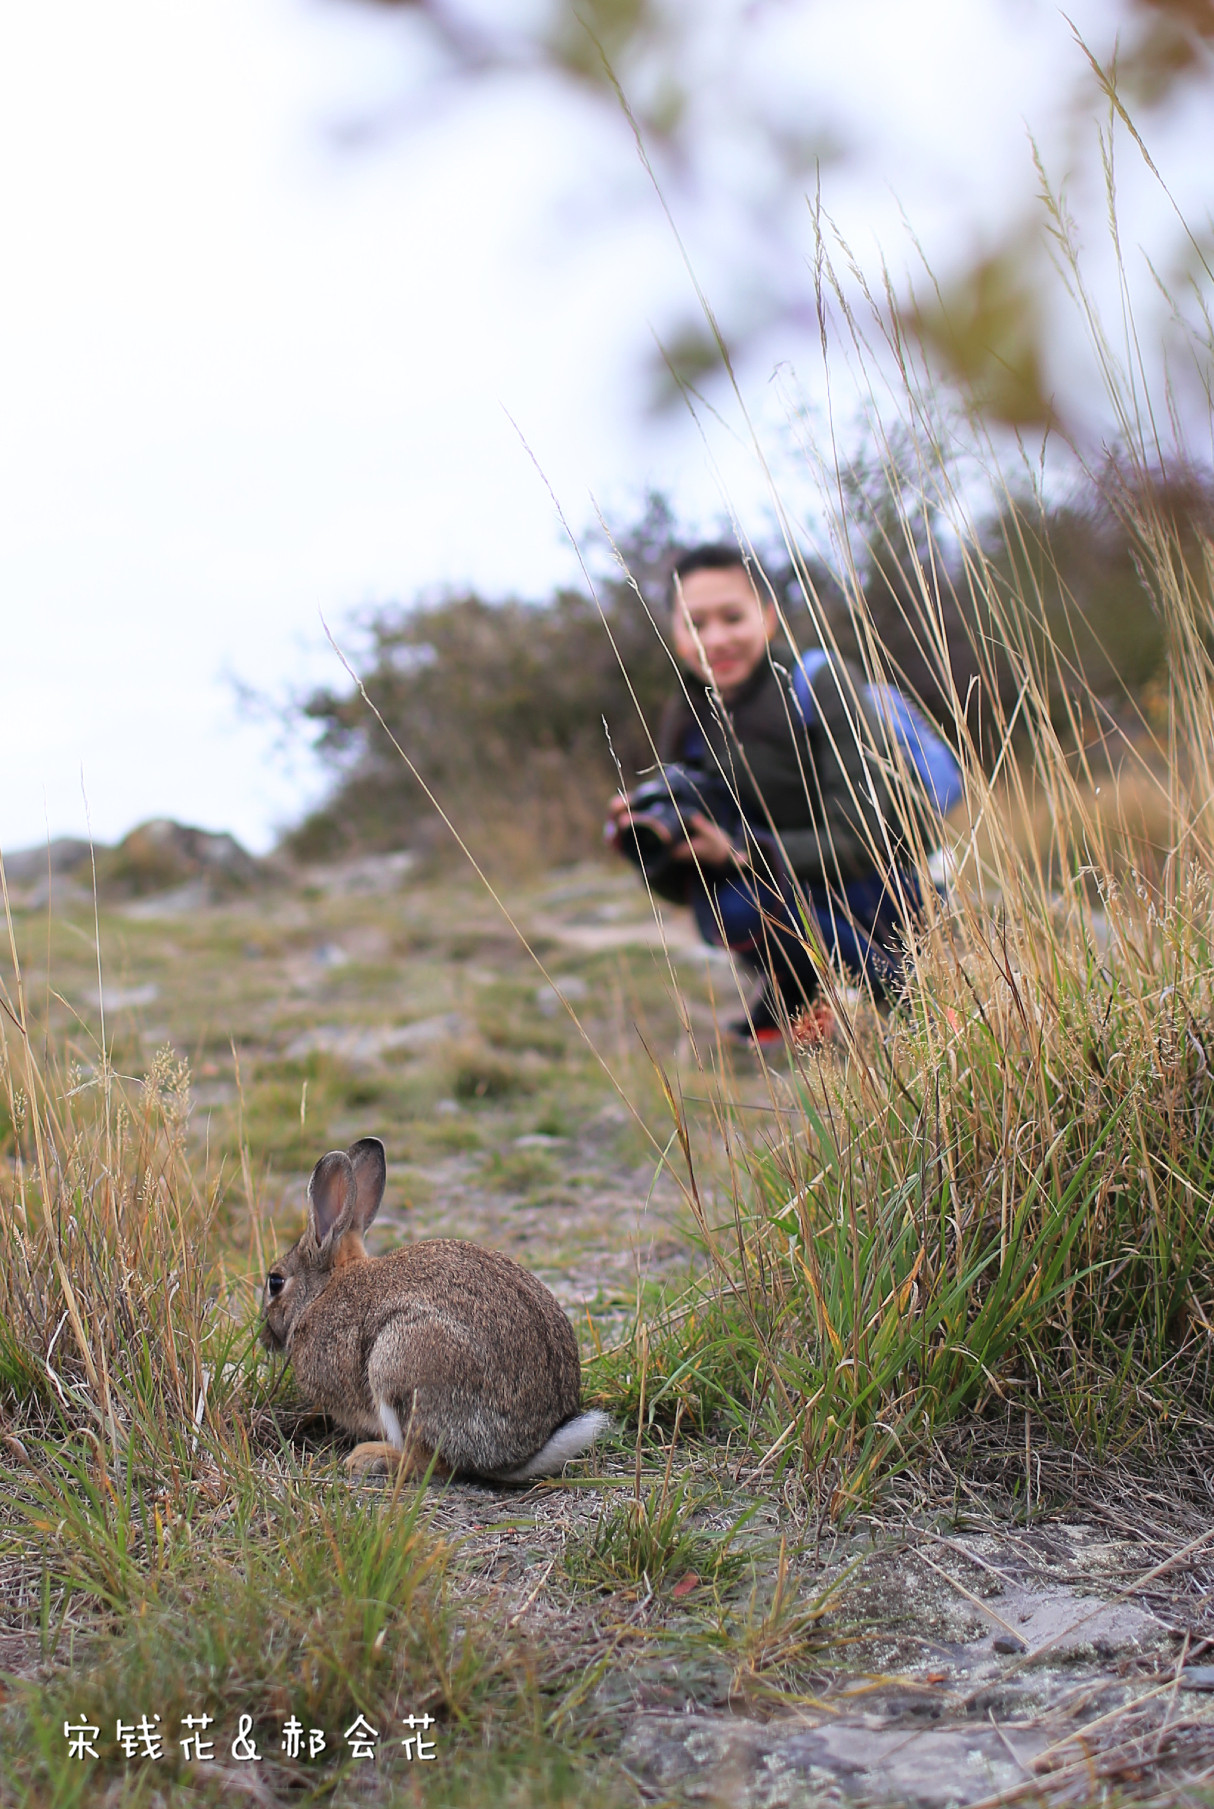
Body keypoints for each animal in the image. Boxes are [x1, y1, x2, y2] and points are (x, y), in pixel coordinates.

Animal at [262, 1128, 611, 1483]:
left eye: (275, 1282)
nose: (265, 1338)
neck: (320, 1293)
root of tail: (519, 1452)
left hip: (399, 1360)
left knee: (433, 1462)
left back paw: (370, 1458)